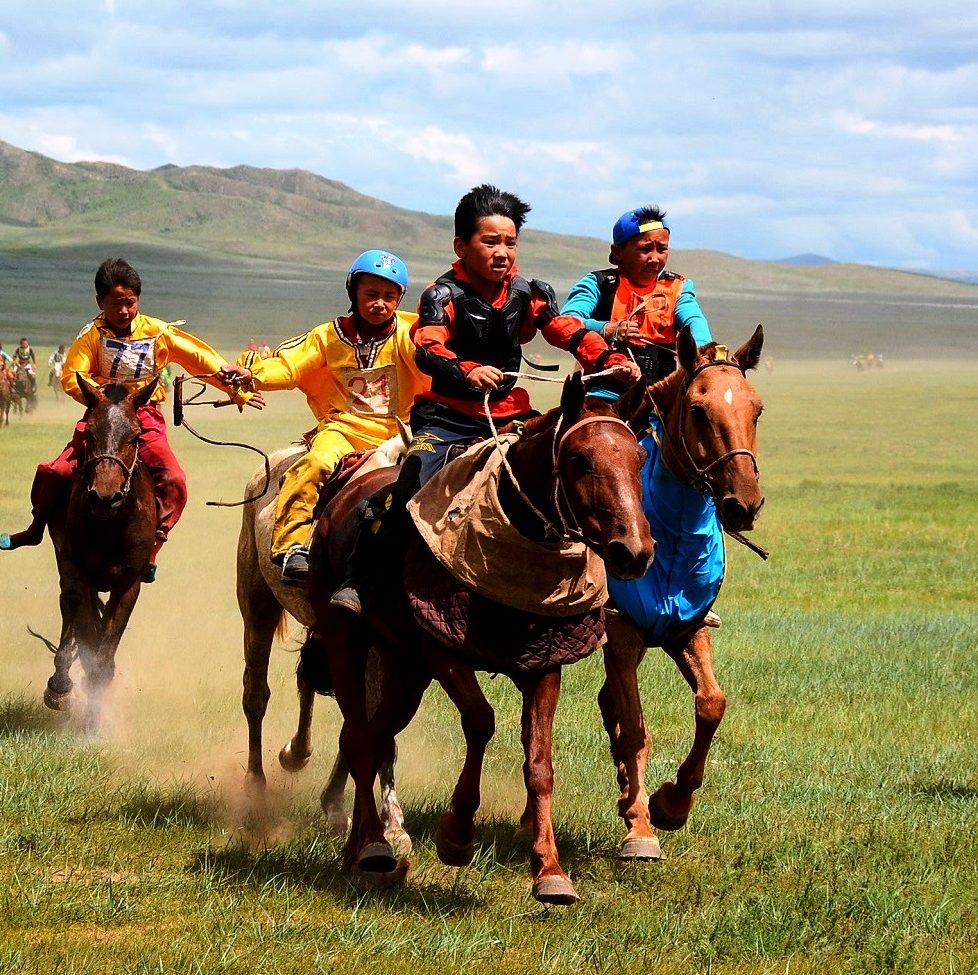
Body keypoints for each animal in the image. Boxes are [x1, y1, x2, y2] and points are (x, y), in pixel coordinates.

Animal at [38, 374, 159, 732]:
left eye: (136, 436)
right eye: (89, 432)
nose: (105, 497)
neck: (110, 526)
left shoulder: (128, 585)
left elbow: (103, 656)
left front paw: (94, 725)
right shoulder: (78, 572)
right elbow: (83, 630)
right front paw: (65, 693)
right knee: (71, 610)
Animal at [304, 374, 656, 908]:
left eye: (638, 457)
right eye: (579, 459)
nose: (633, 551)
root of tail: (344, 493)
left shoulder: (543, 663)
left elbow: (539, 763)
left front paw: (550, 872)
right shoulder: (442, 651)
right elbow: (480, 720)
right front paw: (456, 833)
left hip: (404, 669)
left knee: (373, 733)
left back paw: (360, 849)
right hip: (349, 644)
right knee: (362, 737)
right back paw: (372, 847)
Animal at [596, 326, 764, 860]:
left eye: (757, 409)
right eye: (698, 411)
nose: (743, 504)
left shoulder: (684, 627)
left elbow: (712, 704)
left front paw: (671, 803)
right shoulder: (621, 633)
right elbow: (635, 729)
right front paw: (640, 829)